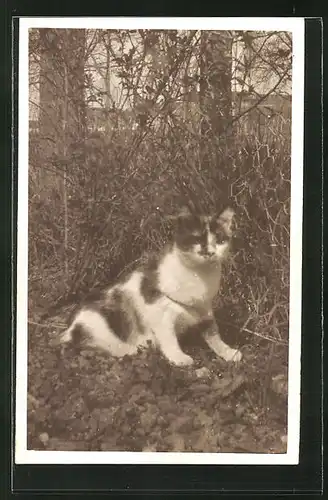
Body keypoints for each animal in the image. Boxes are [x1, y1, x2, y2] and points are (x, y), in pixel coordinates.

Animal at [56, 206, 242, 368]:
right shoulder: (157, 309)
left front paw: (228, 352)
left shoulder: (204, 309)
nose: (210, 252)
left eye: (220, 240)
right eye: (197, 240)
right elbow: (168, 338)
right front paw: (178, 357)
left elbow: (214, 333)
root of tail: (69, 328)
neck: (200, 276)